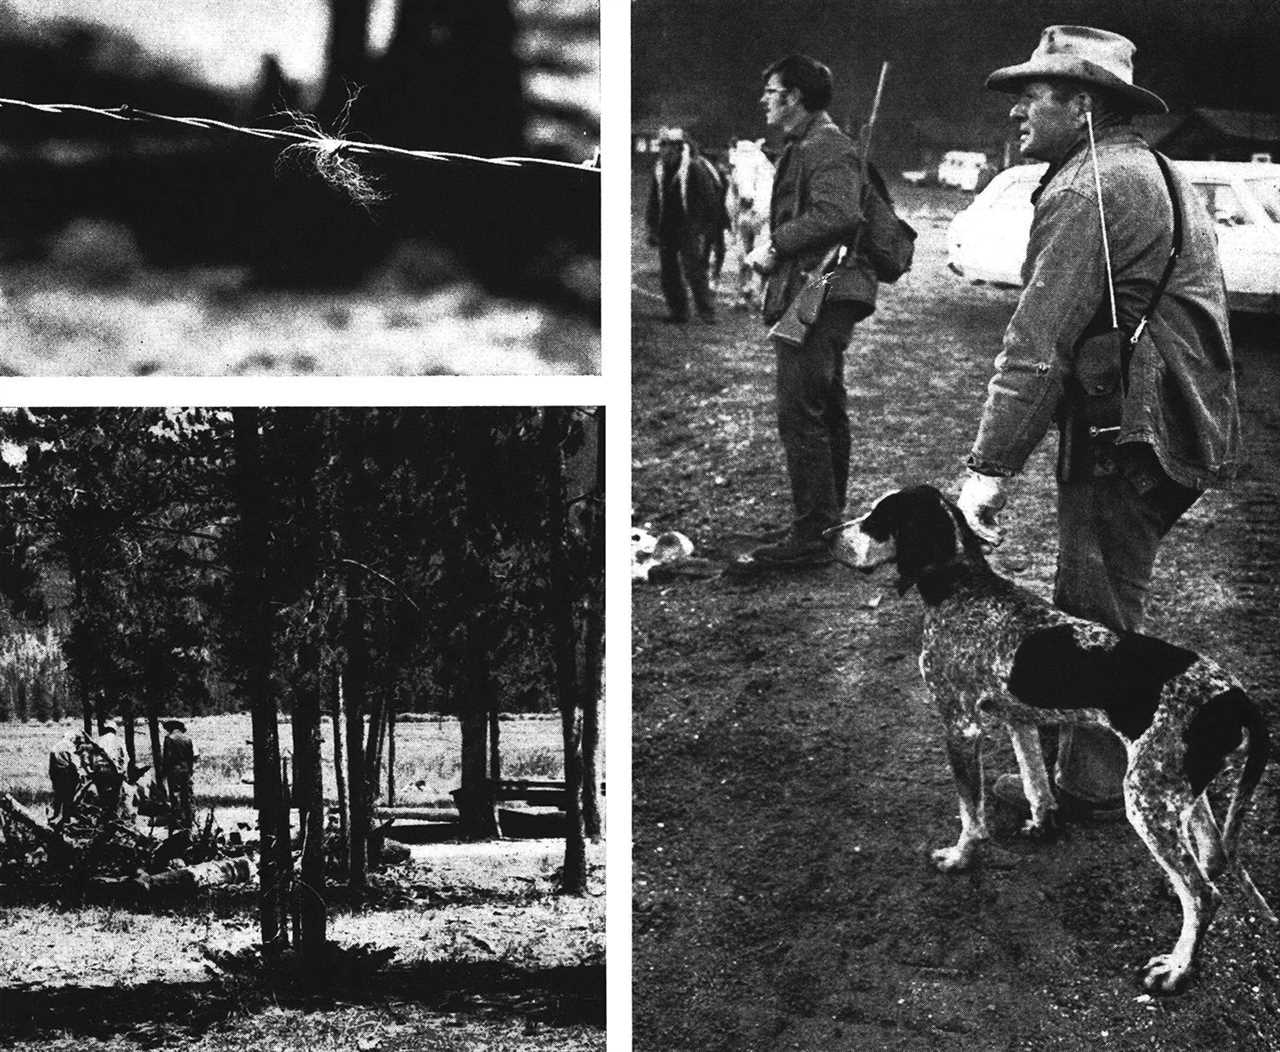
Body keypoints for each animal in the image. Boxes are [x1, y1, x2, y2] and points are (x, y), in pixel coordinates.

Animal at [824, 486, 1274, 998]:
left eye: (878, 519)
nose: (825, 536)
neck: (964, 587)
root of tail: (1235, 696)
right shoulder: (1017, 719)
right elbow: (1035, 780)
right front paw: (1041, 823)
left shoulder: (960, 726)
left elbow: (970, 812)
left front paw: (960, 857)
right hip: (1177, 790)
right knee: (1211, 856)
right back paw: (1174, 893)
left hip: (1146, 799)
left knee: (1204, 895)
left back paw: (1177, 968)